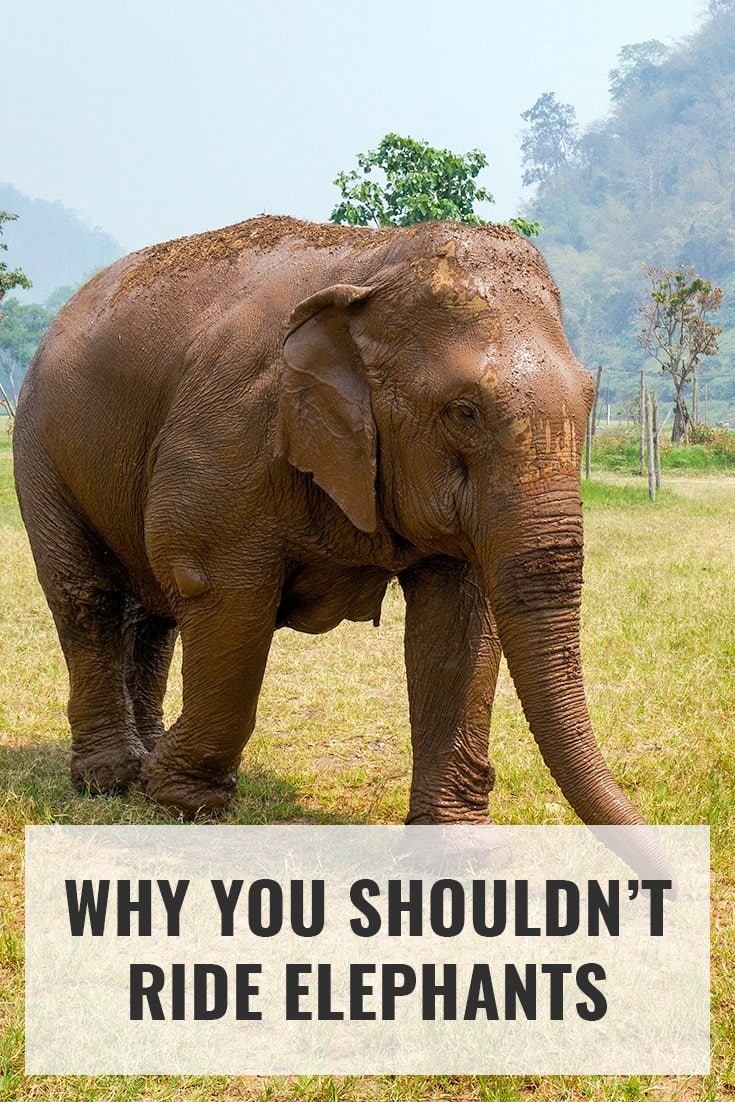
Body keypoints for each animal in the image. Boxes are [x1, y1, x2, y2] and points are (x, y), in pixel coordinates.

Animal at [13, 215, 669, 877]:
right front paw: (180, 802)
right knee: (87, 597)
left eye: (589, 399)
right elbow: (227, 600)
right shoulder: (228, 439)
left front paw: (461, 854)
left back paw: (142, 756)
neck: (372, 260)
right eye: (464, 412)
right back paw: (110, 779)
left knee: (154, 615)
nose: (667, 882)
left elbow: (456, 628)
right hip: (38, 445)